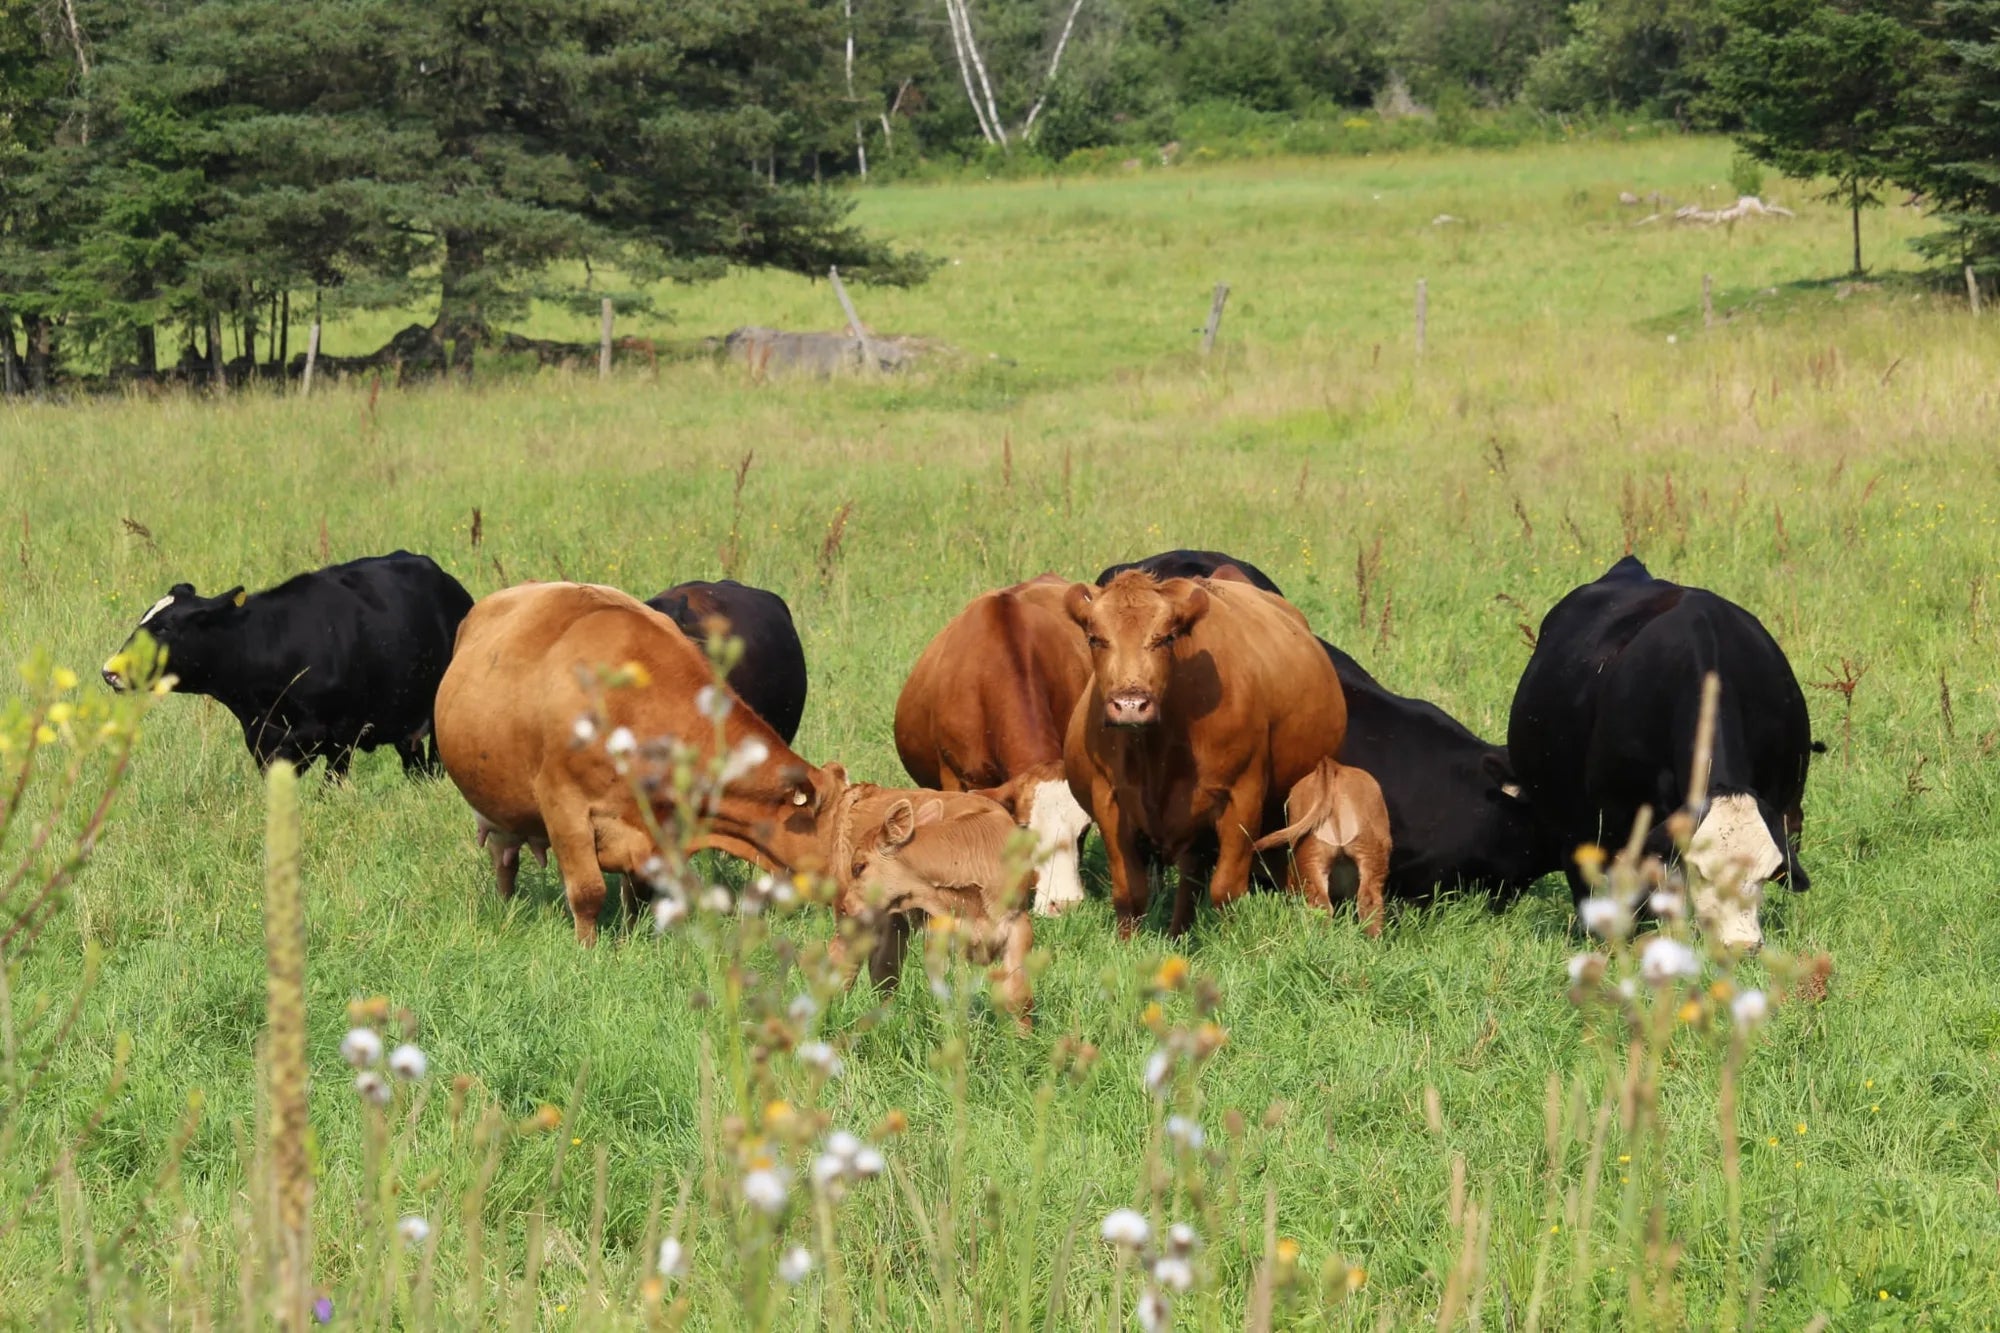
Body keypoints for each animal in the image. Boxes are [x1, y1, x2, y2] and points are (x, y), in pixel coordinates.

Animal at [829, 786, 1039, 1026]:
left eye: (860, 867)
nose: (845, 906)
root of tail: (869, 789)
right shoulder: (938, 934)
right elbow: (948, 993)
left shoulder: (1019, 924)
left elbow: (1018, 996)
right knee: (845, 960)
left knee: (884, 971)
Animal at [1064, 571, 1348, 937]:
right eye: (1095, 639)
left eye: (1166, 638)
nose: (1130, 704)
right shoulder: (1109, 801)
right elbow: (1130, 891)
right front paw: (1127, 943)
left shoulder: (1241, 799)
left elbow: (1225, 890)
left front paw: (1230, 943)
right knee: (1190, 879)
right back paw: (1177, 936)